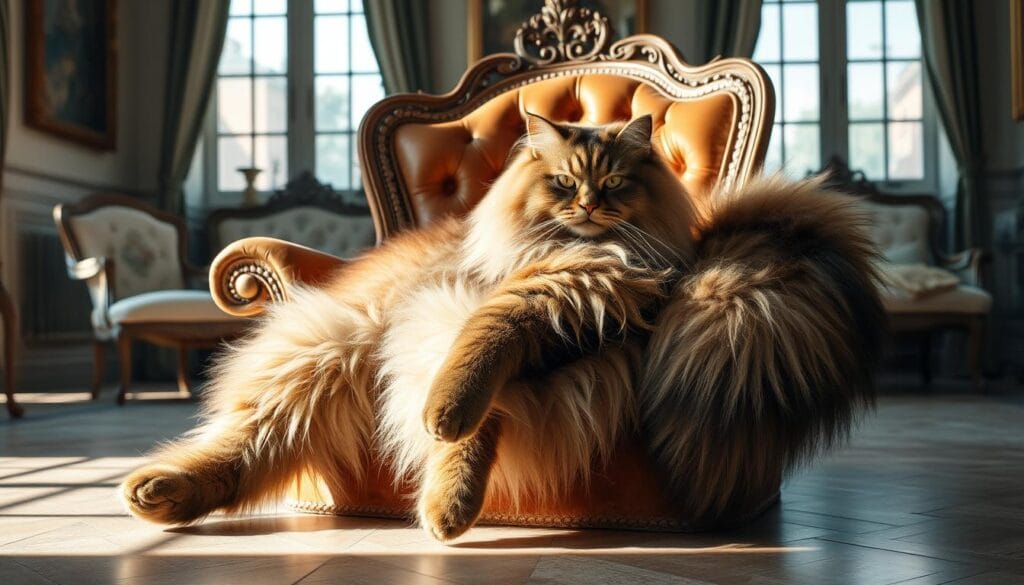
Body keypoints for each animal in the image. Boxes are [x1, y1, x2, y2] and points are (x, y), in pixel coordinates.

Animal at [121, 111, 888, 540]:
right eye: (564, 183)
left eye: (614, 184)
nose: (588, 205)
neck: (582, 253)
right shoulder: (490, 304)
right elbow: (470, 378)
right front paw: (447, 459)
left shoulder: (572, 310)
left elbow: (478, 395)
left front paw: (447, 486)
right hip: (324, 353)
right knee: (246, 445)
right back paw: (156, 494)